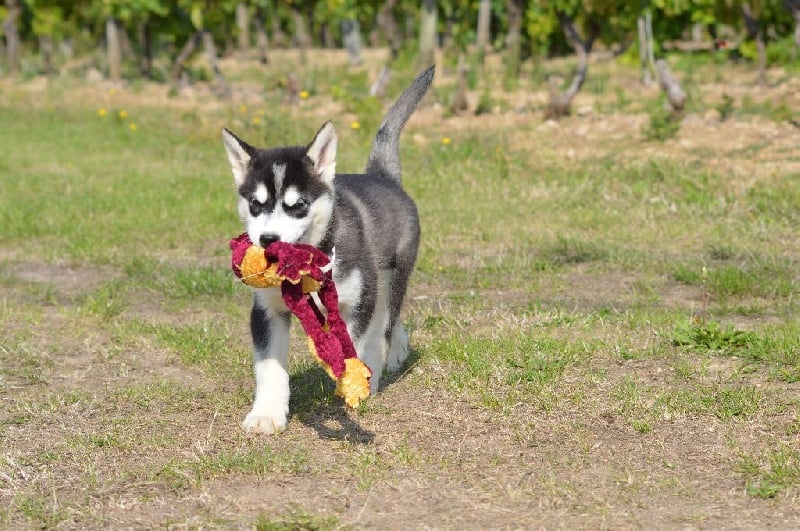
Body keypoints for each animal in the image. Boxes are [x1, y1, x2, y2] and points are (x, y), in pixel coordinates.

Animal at [219, 66, 434, 434]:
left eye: (299, 206)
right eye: (256, 205)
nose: (268, 240)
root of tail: (382, 176)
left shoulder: (358, 300)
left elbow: (353, 347)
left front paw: (352, 388)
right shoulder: (266, 310)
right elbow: (269, 366)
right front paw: (267, 414)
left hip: (391, 278)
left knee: (385, 322)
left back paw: (382, 362)